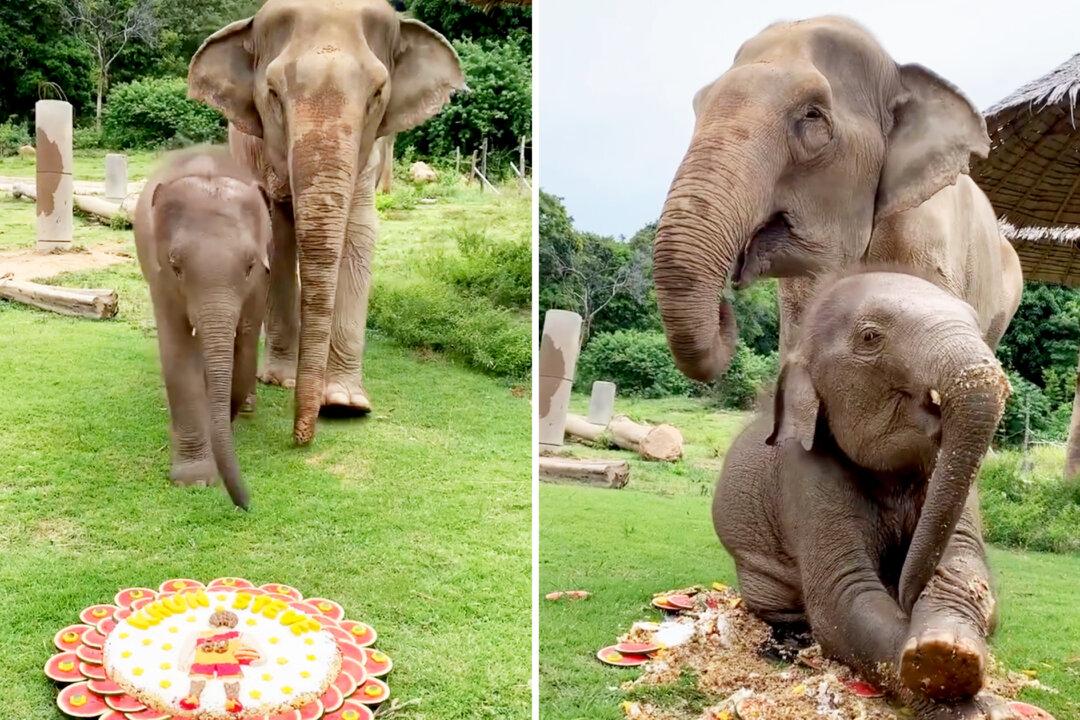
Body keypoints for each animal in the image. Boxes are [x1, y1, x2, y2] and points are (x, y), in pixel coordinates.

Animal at [134, 147, 272, 509]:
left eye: (250, 265)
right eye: (176, 266)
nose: (246, 504)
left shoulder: (261, 280)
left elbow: (245, 344)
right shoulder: (161, 278)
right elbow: (177, 351)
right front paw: (194, 480)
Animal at [188, 0, 464, 445]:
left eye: (377, 93)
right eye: (273, 93)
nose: (302, 436)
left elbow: (360, 232)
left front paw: (343, 403)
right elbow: (277, 235)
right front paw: (281, 380)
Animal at [715, 269, 1012, 719]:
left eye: (979, 325)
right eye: (871, 337)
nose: (906, 594)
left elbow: (966, 562)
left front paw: (949, 654)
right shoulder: (804, 475)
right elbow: (843, 597)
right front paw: (955, 688)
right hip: (756, 574)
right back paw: (790, 645)